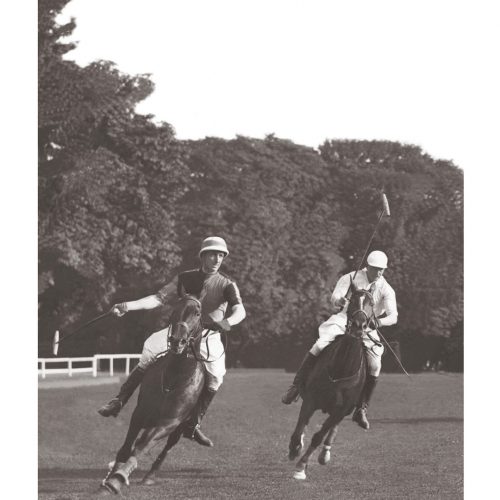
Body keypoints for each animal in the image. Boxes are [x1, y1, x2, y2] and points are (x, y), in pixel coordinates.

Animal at [100, 294, 206, 494]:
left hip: (179, 426)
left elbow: (142, 447)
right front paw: (111, 476)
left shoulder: (170, 421)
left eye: (197, 313)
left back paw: (150, 476)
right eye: (175, 309)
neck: (174, 374)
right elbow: (127, 447)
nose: (177, 340)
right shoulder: (140, 413)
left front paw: (118, 477)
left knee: (166, 447)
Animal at [288, 284, 374, 478]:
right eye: (352, 300)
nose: (359, 325)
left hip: (346, 409)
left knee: (332, 428)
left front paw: (301, 466)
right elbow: (299, 430)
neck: (341, 367)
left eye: (372, 303)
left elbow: (318, 436)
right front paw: (294, 450)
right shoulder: (310, 400)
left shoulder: (340, 410)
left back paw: (325, 453)